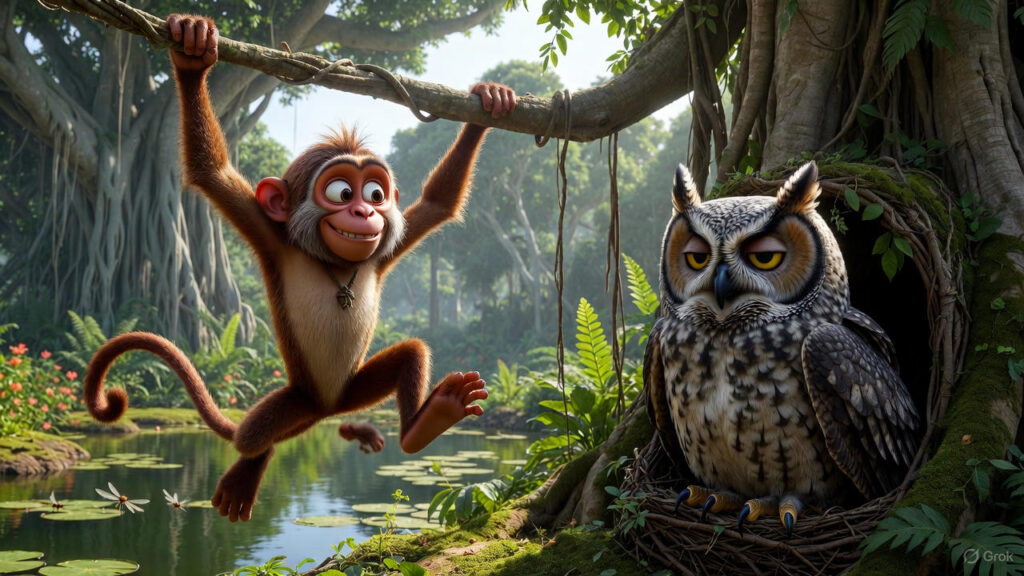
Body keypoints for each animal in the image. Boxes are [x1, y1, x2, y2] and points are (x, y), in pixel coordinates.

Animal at [84, 13, 517, 522]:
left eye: (375, 194)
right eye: (341, 193)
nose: (365, 213)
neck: (332, 262)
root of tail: (325, 406)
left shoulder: (384, 251)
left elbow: (438, 204)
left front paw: (485, 107)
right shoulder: (274, 238)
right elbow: (211, 171)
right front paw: (192, 56)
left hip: (355, 389)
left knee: (409, 354)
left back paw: (425, 422)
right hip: (296, 399)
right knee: (252, 437)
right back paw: (250, 468)